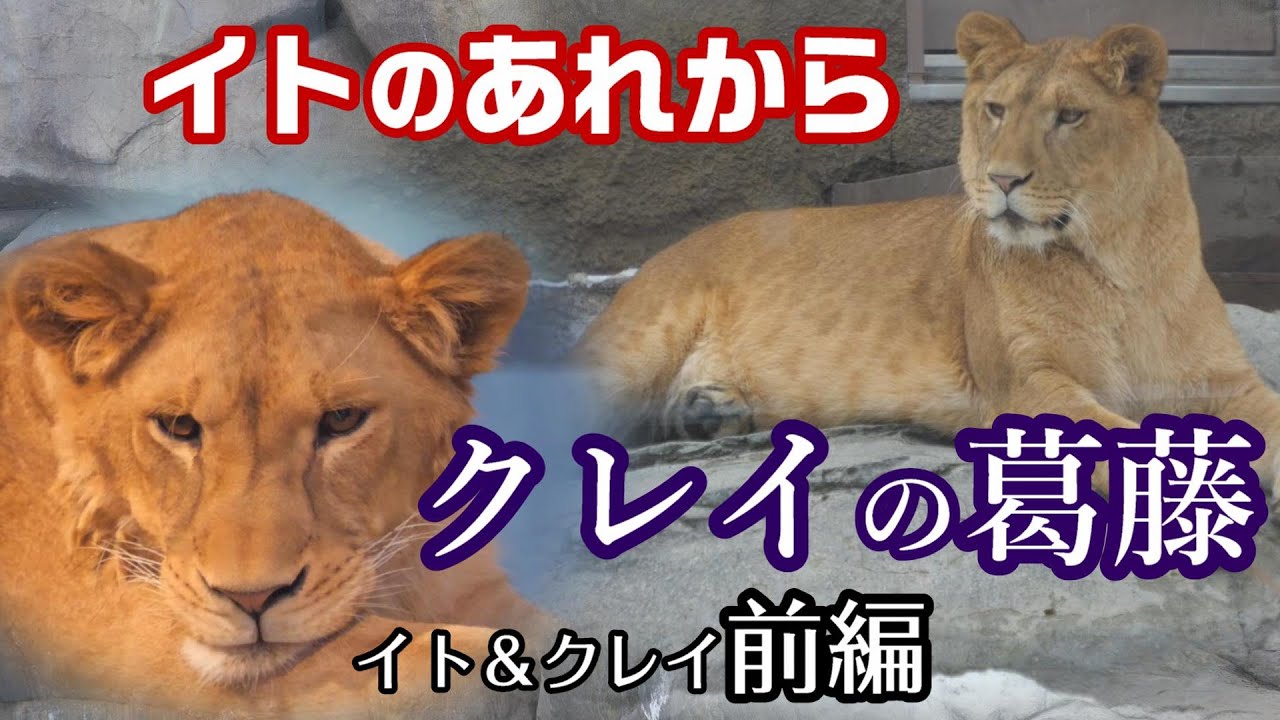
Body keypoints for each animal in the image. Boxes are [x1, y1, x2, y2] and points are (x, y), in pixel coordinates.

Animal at [576, 13, 1280, 496]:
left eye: (1070, 116)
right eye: (995, 109)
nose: (1003, 180)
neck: (1115, 262)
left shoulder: (1225, 379)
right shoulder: (1024, 386)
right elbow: (1123, 445)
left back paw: (708, 413)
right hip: (633, 350)